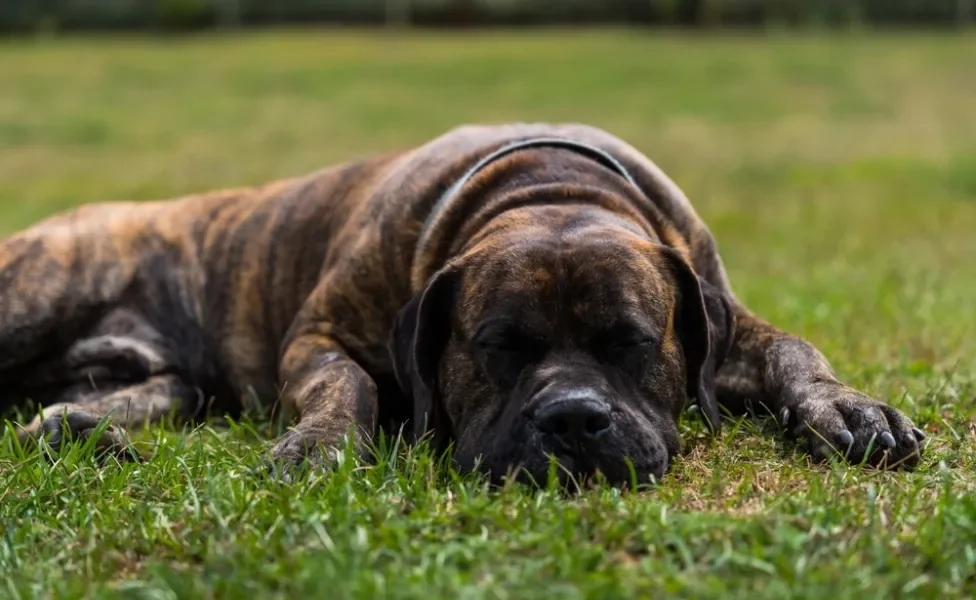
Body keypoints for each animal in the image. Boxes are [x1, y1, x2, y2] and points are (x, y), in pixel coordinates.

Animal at [0, 124, 928, 486]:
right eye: (498, 345)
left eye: (631, 341)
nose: (574, 419)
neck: (548, 190)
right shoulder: (320, 334)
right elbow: (350, 385)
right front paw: (320, 445)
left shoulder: (721, 317)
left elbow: (792, 348)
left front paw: (848, 409)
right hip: (34, 297)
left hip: (162, 382)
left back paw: (81, 430)